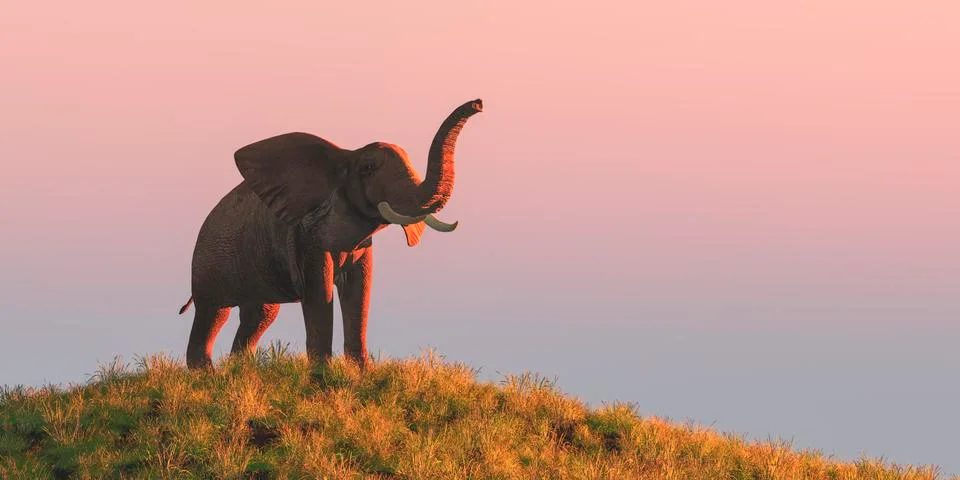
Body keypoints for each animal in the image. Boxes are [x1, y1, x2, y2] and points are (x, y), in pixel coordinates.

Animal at [178, 99, 483, 369]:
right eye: (368, 168)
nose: (478, 104)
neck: (345, 155)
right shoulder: (306, 238)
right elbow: (319, 292)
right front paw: (322, 377)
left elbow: (360, 291)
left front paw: (359, 375)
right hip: (208, 262)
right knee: (213, 313)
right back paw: (207, 376)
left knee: (260, 314)